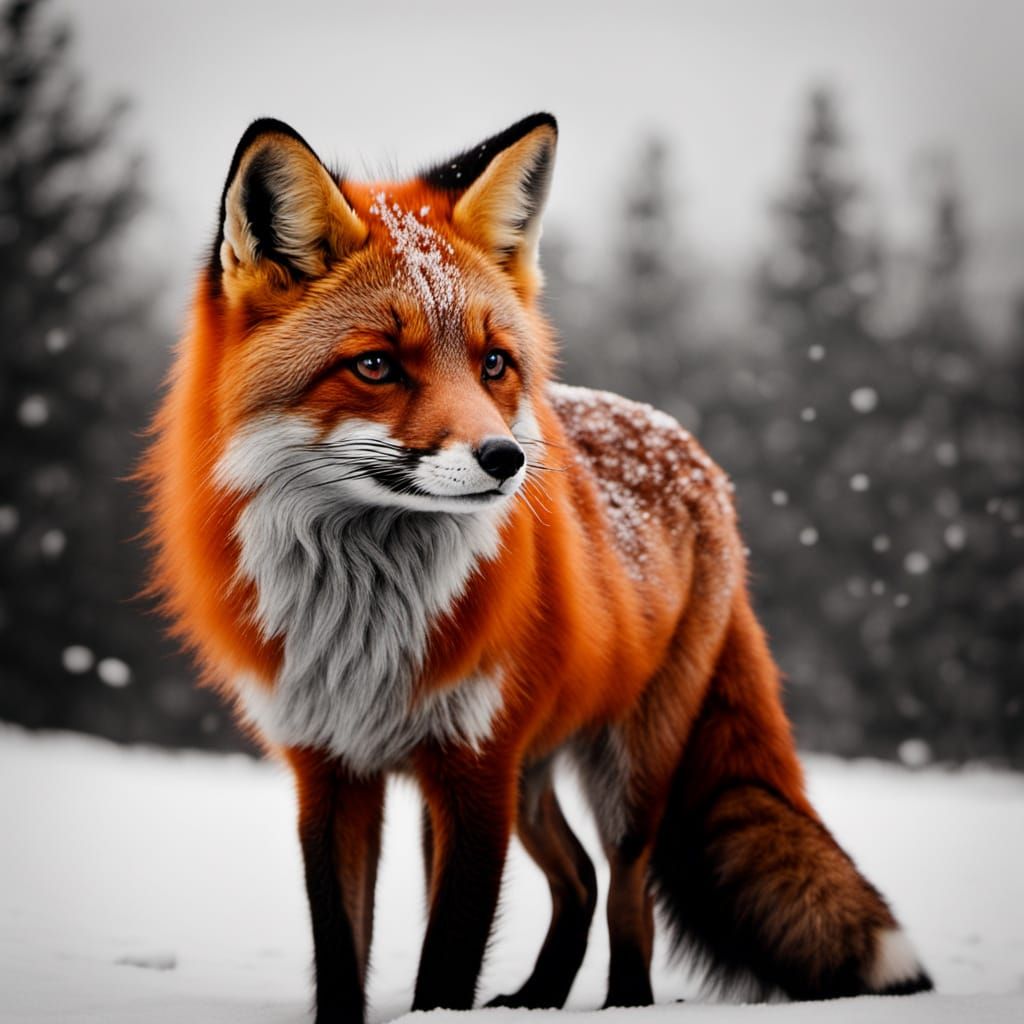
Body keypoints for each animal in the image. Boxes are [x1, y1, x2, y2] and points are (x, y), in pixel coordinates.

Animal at [143, 112, 933, 1021]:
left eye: (494, 363)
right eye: (376, 365)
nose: (507, 459)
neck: (364, 622)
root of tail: (694, 454)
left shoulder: (472, 767)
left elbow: (447, 962)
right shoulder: (333, 769)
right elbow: (341, 956)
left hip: (624, 773)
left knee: (625, 894)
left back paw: (620, 1001)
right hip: (532, 771)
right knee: (579, 879)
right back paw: (539, 997)